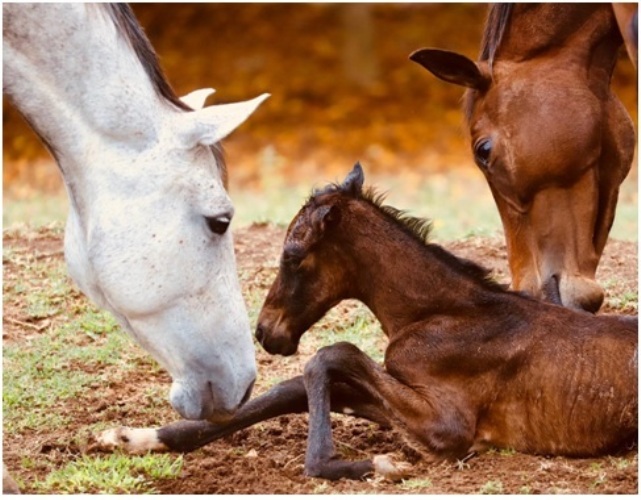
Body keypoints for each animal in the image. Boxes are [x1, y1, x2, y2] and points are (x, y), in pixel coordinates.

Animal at [97, 164, 636, 480]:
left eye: (292, 256)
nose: (266, 332)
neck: (442, 315)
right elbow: (294, 387)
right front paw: (133, 437)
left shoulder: (449, 428)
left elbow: (330, 355)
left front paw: (352, 464)